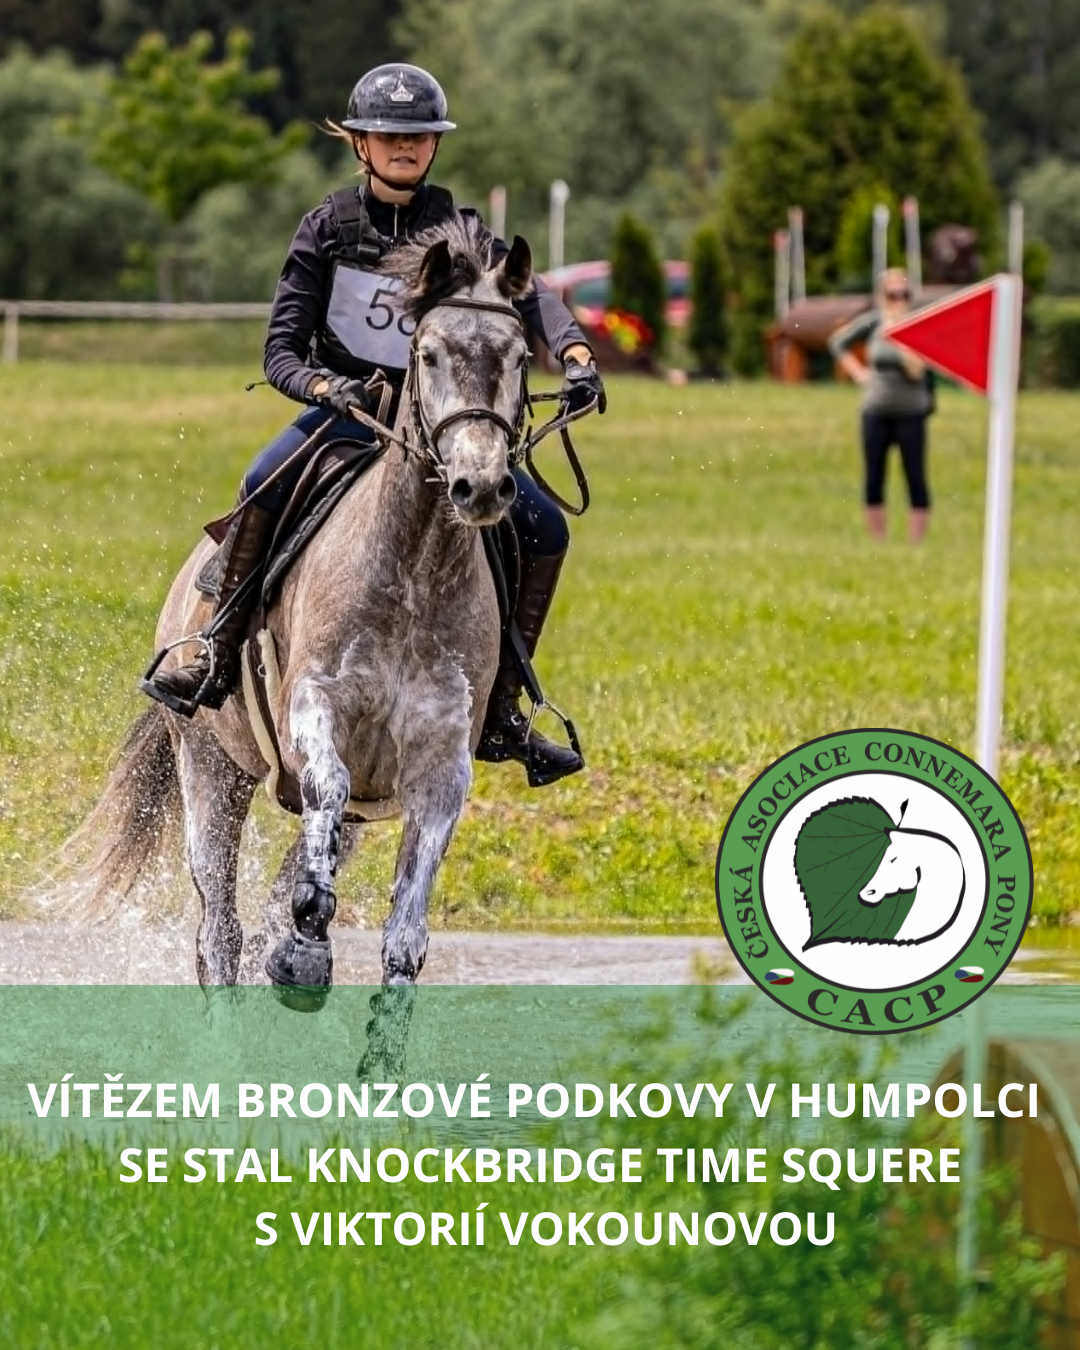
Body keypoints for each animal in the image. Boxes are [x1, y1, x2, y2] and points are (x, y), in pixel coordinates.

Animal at [59, 215, 536, 1000]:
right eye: (428, 352)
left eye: (521, 355)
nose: (481, 485)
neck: (415, 569)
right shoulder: (313, 706)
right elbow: (326, 784)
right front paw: (307, 950)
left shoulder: (438, 770)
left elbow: (404, 942)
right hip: (209, 766)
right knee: (219, 933)